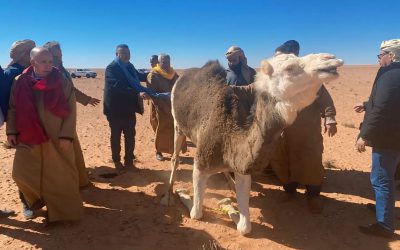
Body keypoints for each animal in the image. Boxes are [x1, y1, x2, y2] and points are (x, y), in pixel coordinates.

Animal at [162, 52, 344, 234]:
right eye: (289, 68)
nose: (330, 59)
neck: (229, 134)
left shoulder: (242, 167)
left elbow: (245, 227)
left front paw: (230, 205)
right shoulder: (200, 163)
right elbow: (196, 214)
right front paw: (181, 192)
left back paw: (231, 184)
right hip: (177, 124)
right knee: (175, 158)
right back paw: (169, 194)